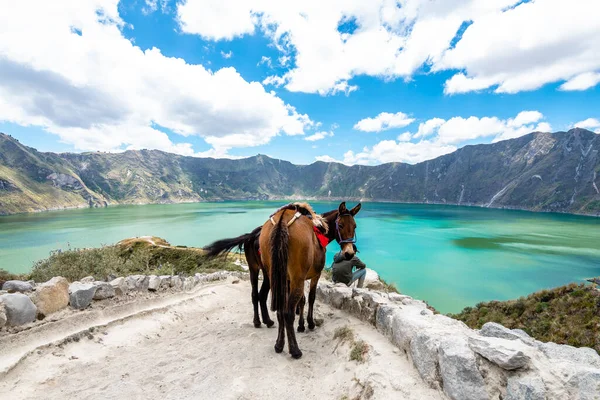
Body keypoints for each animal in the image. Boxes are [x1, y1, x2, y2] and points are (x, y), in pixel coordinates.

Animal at [260, 202, 358, 358]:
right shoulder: (313, 275)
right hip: (297, 278)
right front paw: (310, 323)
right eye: (341, 225)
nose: (349, 253)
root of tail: (282, 220)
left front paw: (301, 325)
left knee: (281, 311)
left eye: (354, 226)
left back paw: (279, 344)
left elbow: (301, 301)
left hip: (275, 276)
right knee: (288, 313)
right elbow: (311, 298)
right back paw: (295, 350)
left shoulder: (289, 280)